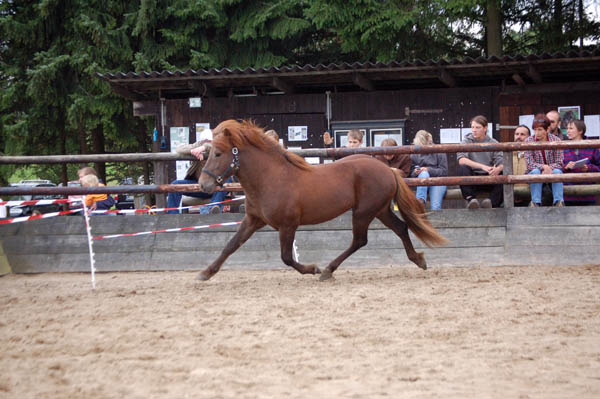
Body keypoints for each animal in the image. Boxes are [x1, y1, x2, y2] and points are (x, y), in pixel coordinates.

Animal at [199, 119, 448, 282]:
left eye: (219, 153)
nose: (203, 184)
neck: (270, 178)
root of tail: (388, 170)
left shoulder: (288, 225)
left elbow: (286, 257)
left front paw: (313, 269)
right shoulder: (253, 220)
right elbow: (231, 245)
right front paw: (206, 273)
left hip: (364, 212)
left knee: (360, 240)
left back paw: (328, 270)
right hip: (380, 211)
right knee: (401, 228)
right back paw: (418, 259)